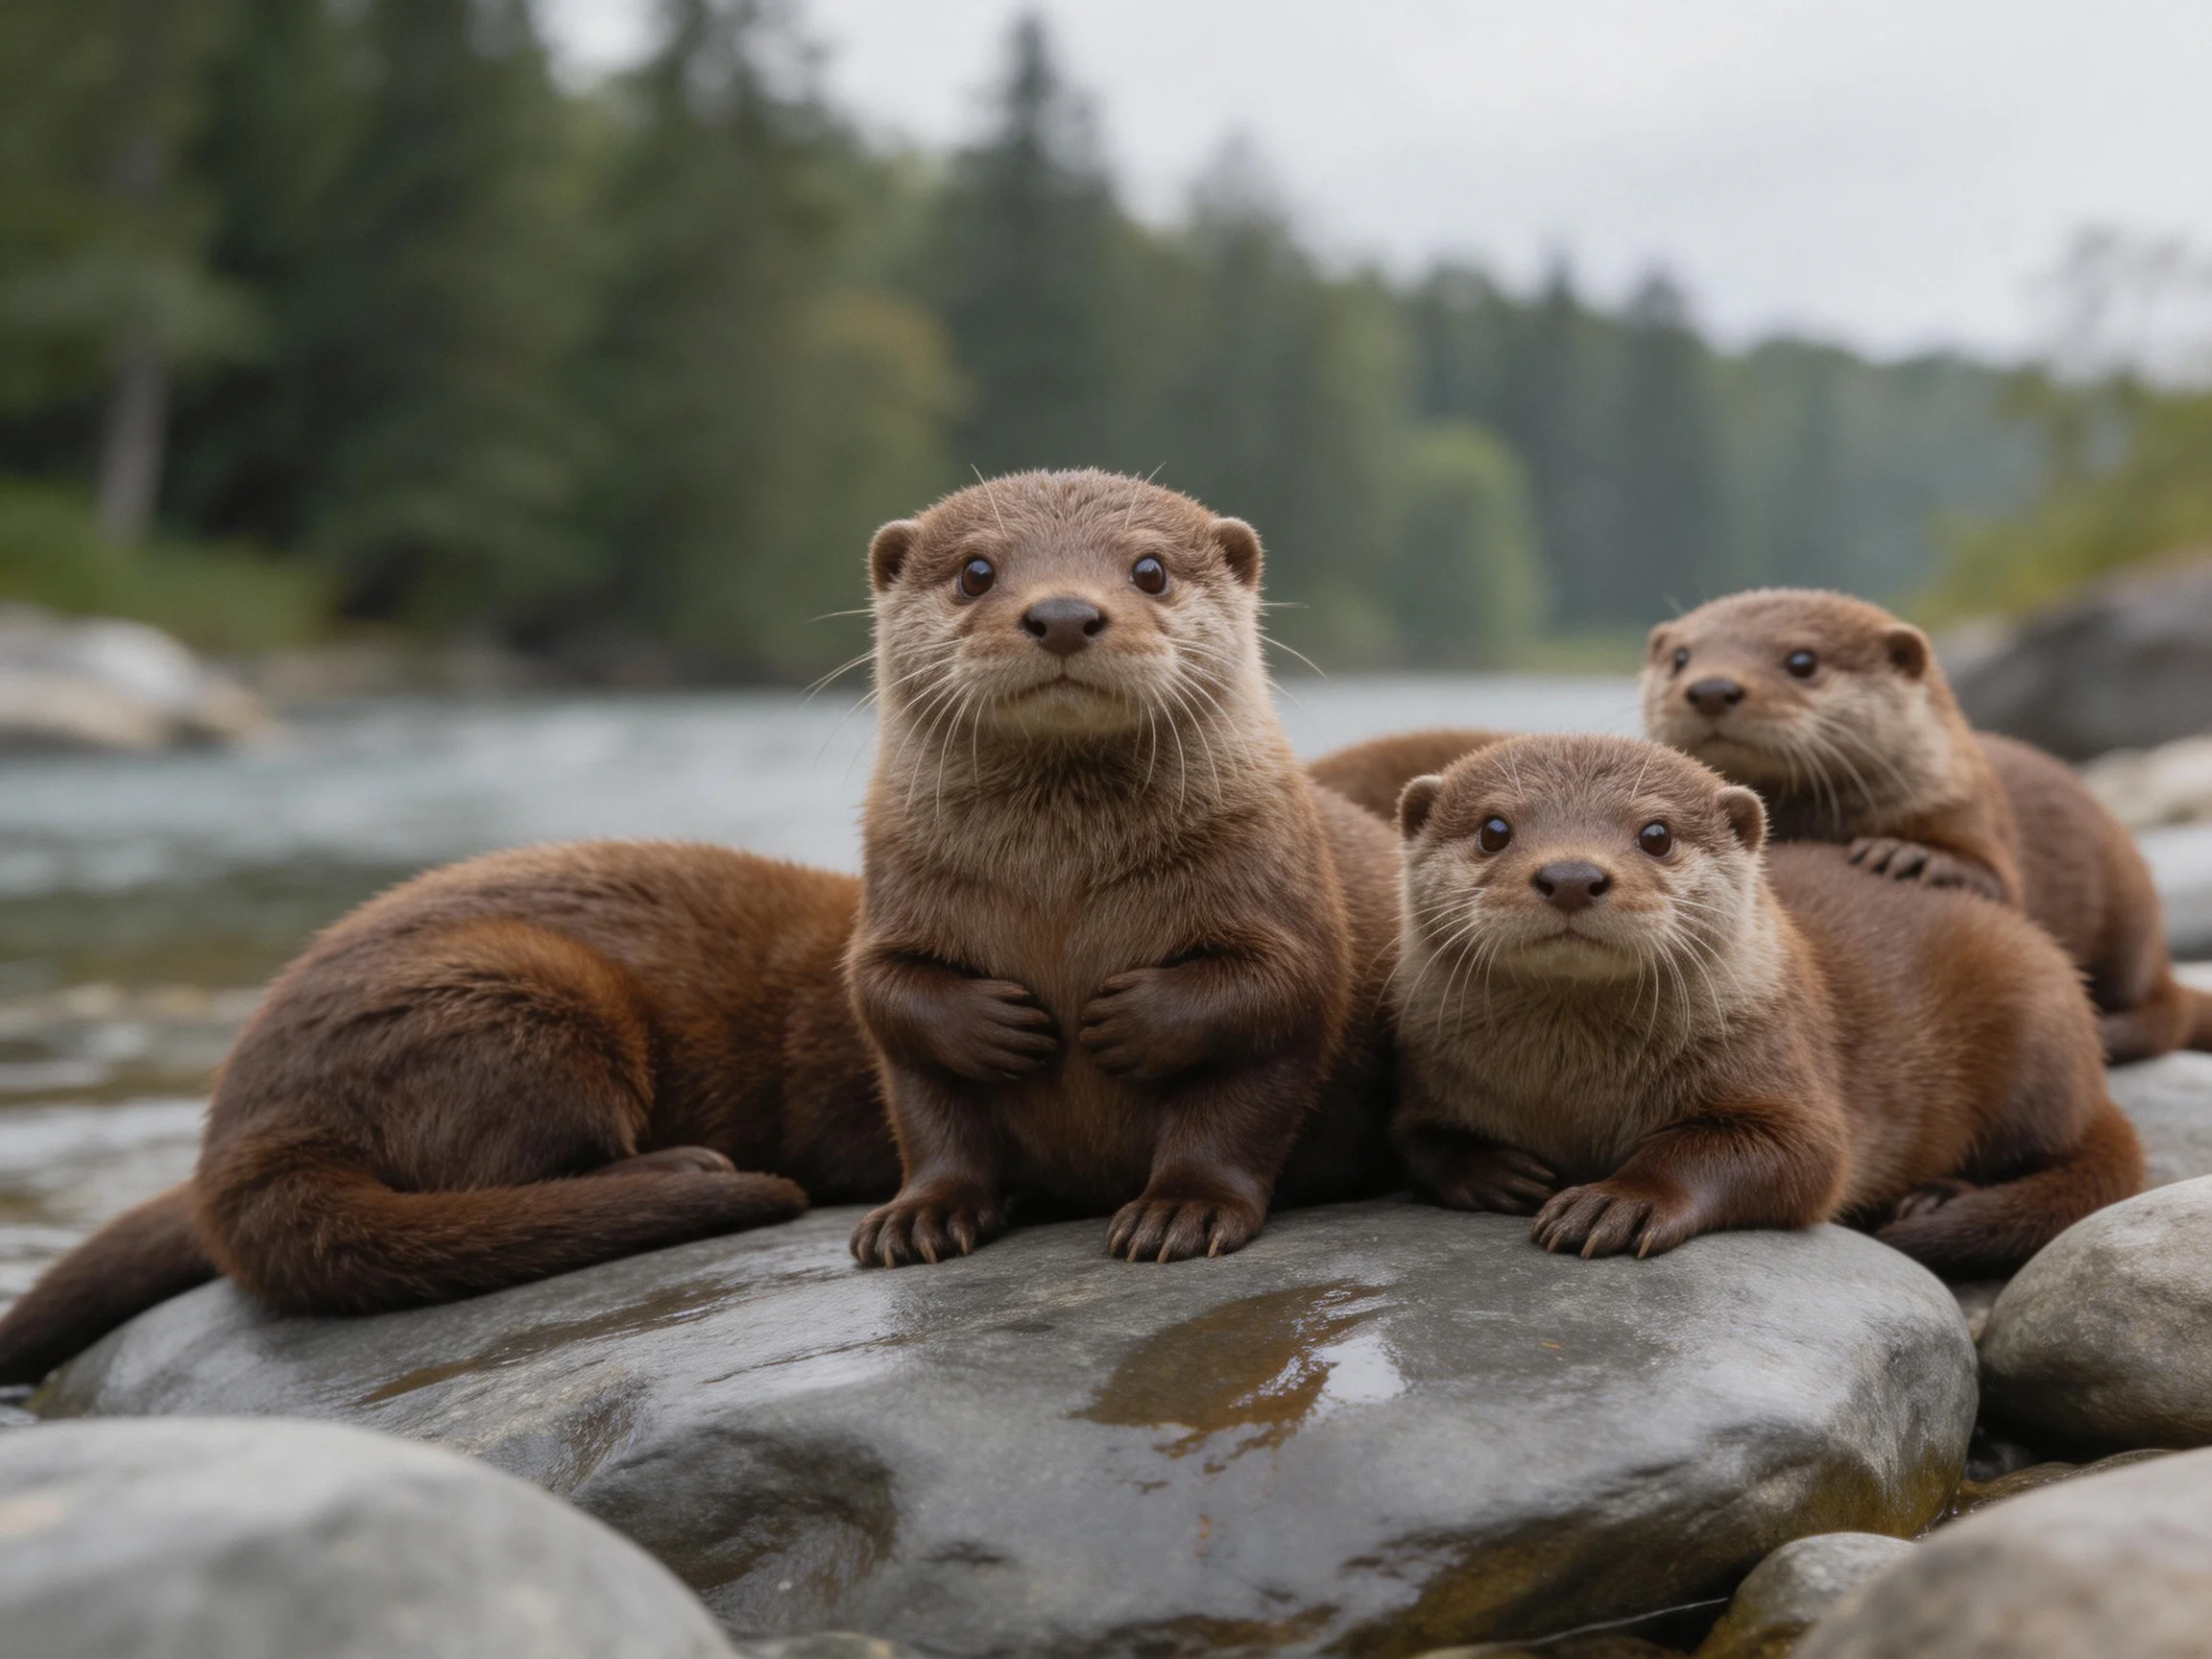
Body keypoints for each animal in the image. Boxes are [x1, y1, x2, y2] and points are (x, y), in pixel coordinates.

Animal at [847, 470, 1399, 1267]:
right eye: (975, 571)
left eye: (1151, 569)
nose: (1063, 613)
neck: (1058, 883)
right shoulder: (892, 902)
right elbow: (896, 1023)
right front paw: (920, 1214)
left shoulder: (1284, 906)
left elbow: (1267, 1022)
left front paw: (1182, 1209)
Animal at [1391, 734, 2141, 1271]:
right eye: (1493, 829)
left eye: (1656, 834)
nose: (1572, 875)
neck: (1573, 1092)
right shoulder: (1424, 1069)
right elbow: (1416, 1140)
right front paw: (1495, 1170)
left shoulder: (1783, 1064)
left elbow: (1786, 1157)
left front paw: (1617, 1201)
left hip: (2031, 1028)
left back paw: (1934, 1197)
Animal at [1644, 588, 2212, 1062]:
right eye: (1681, 658)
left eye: (1802, 660)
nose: (1712, 687)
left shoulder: (1971, 814)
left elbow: (1992, 884)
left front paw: (1908, 855)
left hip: (2131, 916)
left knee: (2167, 1009)